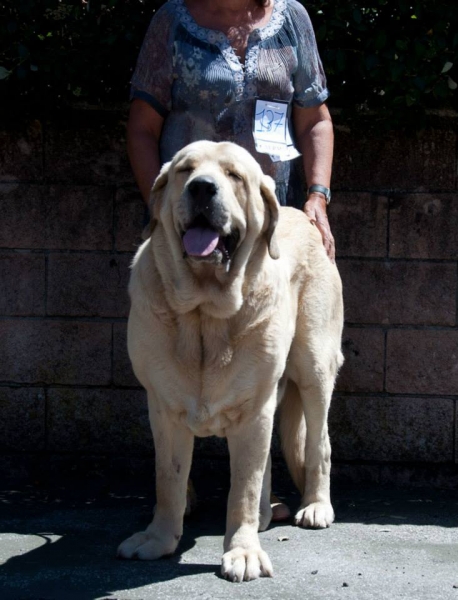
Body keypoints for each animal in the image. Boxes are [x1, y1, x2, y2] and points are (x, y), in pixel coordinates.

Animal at [118, 139, 344, 580]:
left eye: (234, 175)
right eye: (185, 170)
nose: (202, 189)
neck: (204, 313)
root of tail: (304, 218)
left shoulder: (253, 410)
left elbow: (243, 488)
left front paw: (243, 552)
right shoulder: (164, 410)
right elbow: (168, 481)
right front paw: (158, 539)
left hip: (313, 368)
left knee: (318, 444)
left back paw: (315, 506)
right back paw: (268, 514)